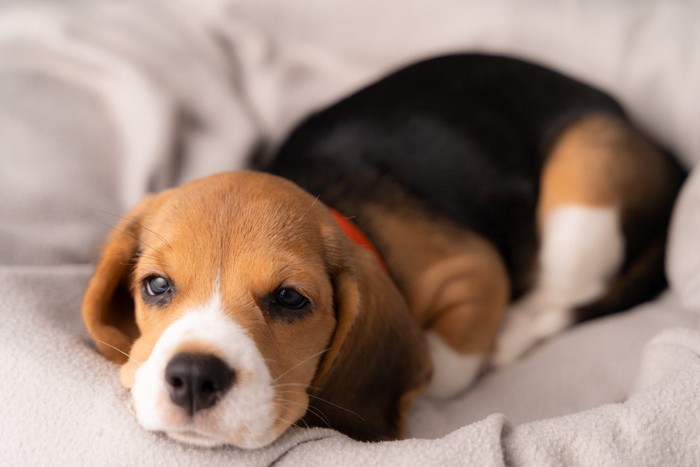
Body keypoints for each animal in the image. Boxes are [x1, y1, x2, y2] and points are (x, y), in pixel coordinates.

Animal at [82, 54, 684, 450]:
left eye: (290, 299)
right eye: (156, 286)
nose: (193, 377)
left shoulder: (474, 269)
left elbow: (444, 367)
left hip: (584, 185)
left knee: (566, 288)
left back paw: (514, 330)